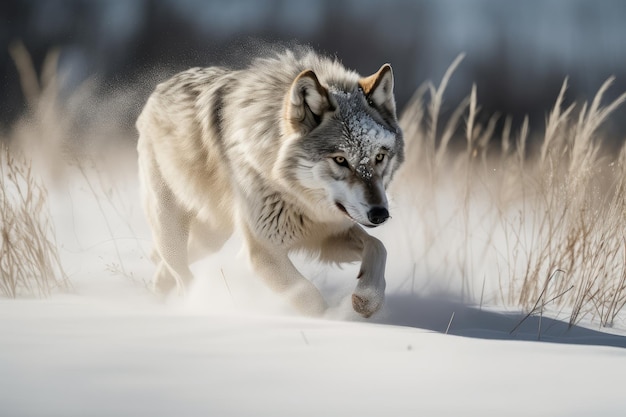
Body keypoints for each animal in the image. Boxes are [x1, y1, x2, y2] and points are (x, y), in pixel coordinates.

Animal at [135, 47, 402, 316]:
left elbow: (378, 246)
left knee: (171, 266)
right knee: (181, 274)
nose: (380, 214)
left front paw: (367, 299)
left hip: (212, 237)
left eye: (379, 157)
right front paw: (333, 319)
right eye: (340, 159)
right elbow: (310, 299)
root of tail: (162, 86)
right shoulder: (263, 252)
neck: (297, 197)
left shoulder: (326, 234)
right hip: (170, 226)